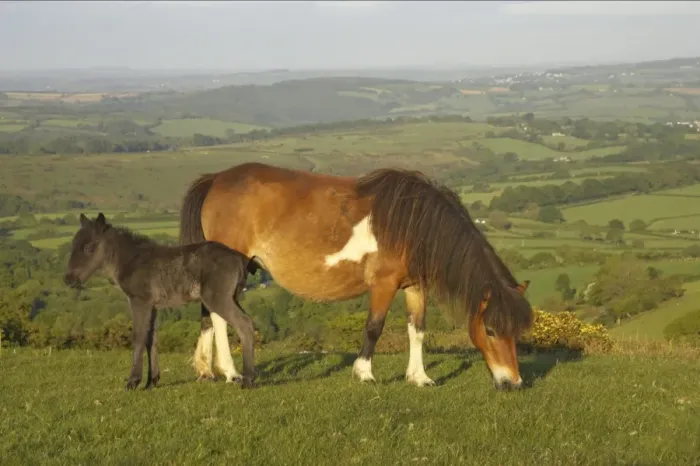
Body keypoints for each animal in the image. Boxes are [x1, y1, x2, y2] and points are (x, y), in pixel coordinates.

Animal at [63, 213, 257, 390]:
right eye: (73, 245)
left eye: (89, 247)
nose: (68, 279)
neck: (130, 260)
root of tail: (239, 260)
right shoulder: (153, 306)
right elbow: (151, 338)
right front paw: (152, 381)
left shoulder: (139, 301)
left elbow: (138, 336)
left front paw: (133, 381)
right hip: (231, 297)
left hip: (217, 298)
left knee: (245, 324)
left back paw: (247, 380)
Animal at [179, 163, 533, 391]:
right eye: (490, 330)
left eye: (517, 331)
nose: (513, 383)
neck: (413, 224)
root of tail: (216, 179)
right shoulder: (384, 284)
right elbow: (374, 327)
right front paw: (364, 373)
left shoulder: (416, 287)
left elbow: (417, 330)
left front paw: (419, 378)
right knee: (221, 316)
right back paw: (230, 372)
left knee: (210, 314)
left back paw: (206, 370)